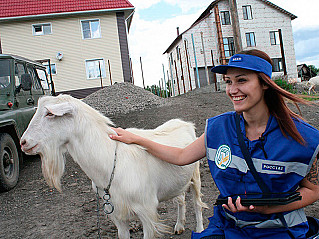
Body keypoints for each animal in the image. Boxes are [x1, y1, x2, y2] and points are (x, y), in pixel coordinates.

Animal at [21, 94, 209, 238]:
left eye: (49, 114)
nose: (23, 142)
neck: (110, 160)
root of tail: (185, 123)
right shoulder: (117, 214)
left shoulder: (147, 211)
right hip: (178, 179)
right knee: (180, 198)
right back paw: (179, 226)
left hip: (196, 174)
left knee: (197, 202)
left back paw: (199, 229)